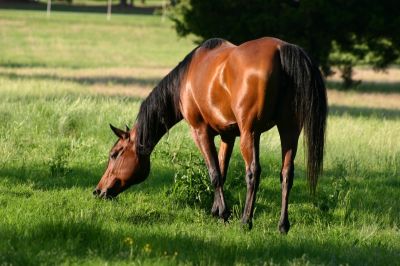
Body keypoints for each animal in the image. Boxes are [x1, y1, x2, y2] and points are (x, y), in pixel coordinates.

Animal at [94, 37, 328, 233]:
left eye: (114, 154)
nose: (98, 191)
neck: (186, 79)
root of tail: (282, 49)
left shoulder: (201, 131)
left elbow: (214, 172)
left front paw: (223, 214)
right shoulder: (228, 135)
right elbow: (222, 171)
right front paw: (216, 211)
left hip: (250, 133)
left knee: (253, 172)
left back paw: (246, 221)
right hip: (288, 130)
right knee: (286, 174)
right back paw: (282, 226)